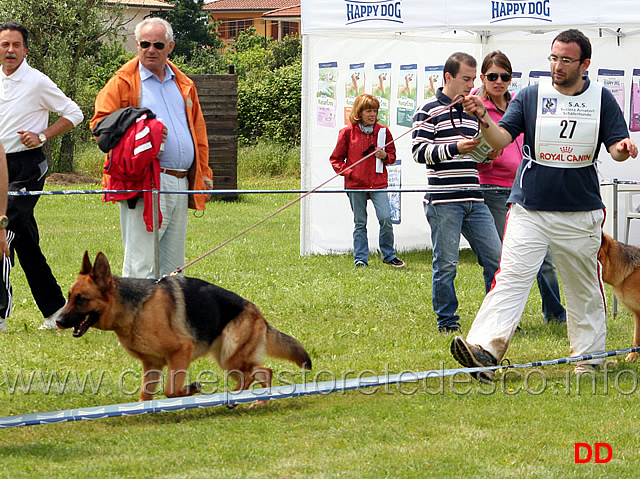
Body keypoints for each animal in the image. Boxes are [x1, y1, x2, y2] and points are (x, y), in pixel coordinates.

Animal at [57, 253, 312, 404]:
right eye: (69, 296)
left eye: (81, 299)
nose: (58, 320)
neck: (137, 308)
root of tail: (258, 313)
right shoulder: (151, 364)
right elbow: (145, 394)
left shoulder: (180, 351)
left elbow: (171, 390)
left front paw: (191, 389)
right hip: (227, 359)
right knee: (258, 373)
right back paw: (247, 398)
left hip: (230, 356)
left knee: (261, 372)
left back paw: (247, 398)